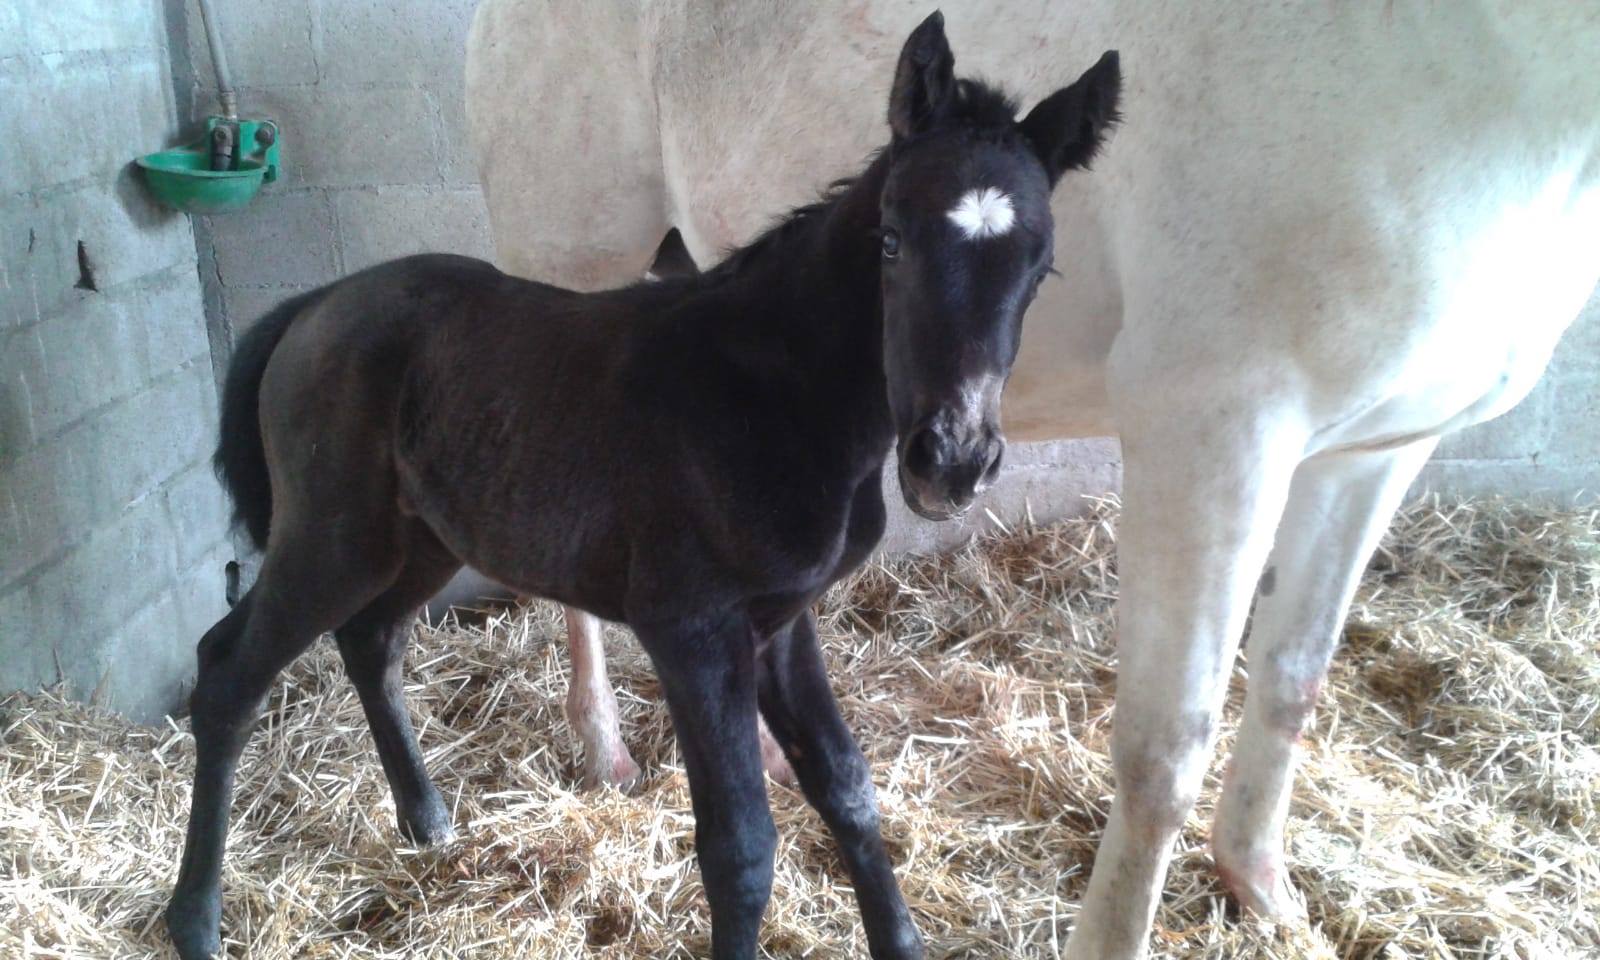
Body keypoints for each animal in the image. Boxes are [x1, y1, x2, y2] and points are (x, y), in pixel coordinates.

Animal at [159, 15, 1113, 960]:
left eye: (1041, 267)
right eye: (891, 241)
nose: (949, 459)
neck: (774, 392)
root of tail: (313, 305)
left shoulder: (781, 621)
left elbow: (846, 785)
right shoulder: (690, 630)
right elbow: (740, 844)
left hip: (420, 536)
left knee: (371, 640)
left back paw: (428, 823)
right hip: (334, 538)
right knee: (229, 674)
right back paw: (195, 919)